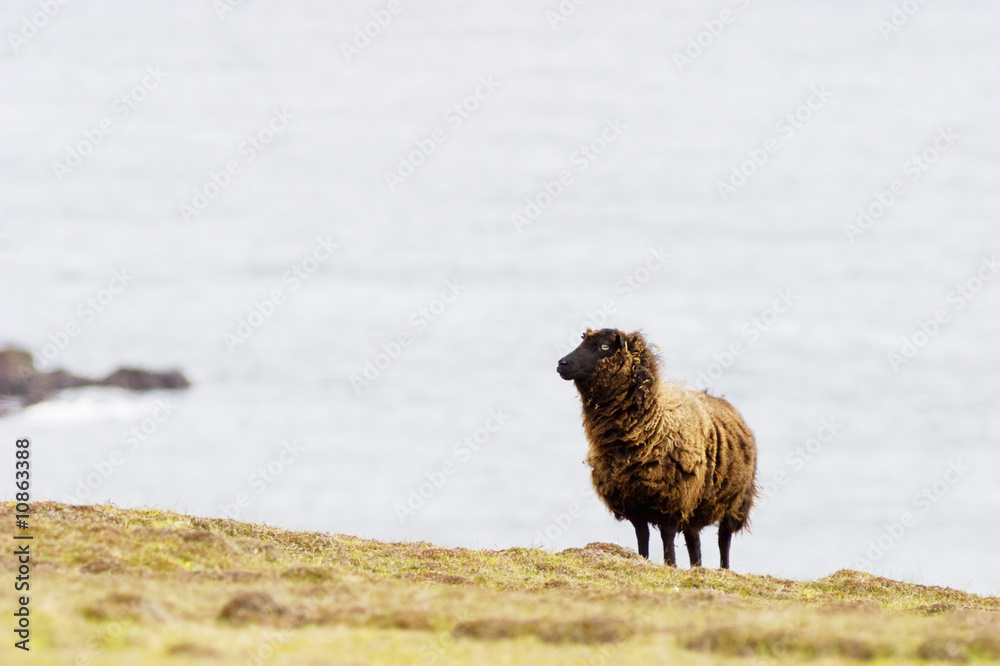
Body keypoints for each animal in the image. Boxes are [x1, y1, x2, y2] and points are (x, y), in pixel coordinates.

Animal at [556, 328, 758, 569]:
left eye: (604, 347)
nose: (561, 364)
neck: (652, 423)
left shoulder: (672, 498)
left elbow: (667, 537)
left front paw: (670, 564)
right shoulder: (634, 502)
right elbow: (642, 536)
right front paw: (642, 560)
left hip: (735, 503)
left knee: (723, 541)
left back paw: (724, 569)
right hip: (695, 506)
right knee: (694, 541)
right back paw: (696, 568)